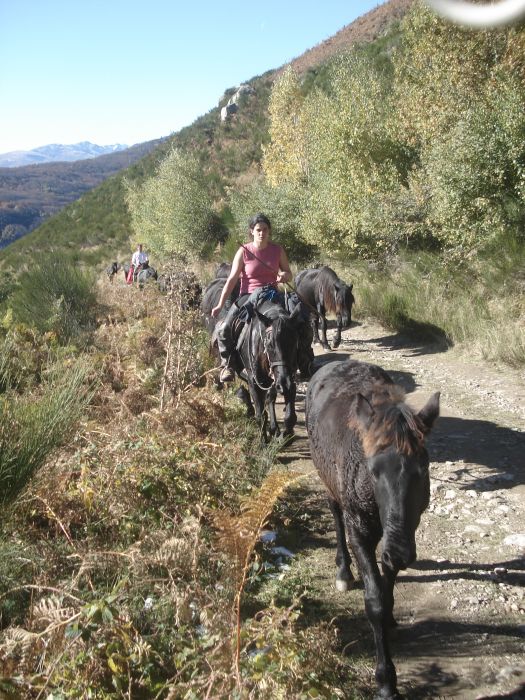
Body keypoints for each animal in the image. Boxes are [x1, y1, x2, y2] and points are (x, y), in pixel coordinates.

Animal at [304, 360, 440, 700]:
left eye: (423, 469)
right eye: (373, 470)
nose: (402, 552)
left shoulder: (401, 533)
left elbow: (387, 585)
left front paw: (391, 617)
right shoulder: (361, 533)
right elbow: (375, 600)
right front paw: (386, 681)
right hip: (329, 485)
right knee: (335, 515)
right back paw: (343, 570)